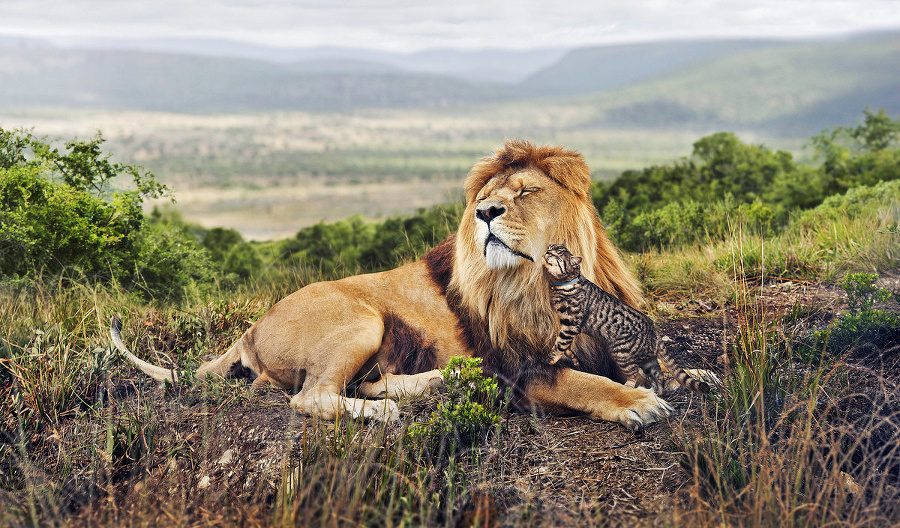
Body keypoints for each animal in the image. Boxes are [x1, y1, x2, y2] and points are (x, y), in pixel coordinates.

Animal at [112, 139, 672, 428]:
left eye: (527, 191)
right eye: (484, 198)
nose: (486, 213)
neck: (536, 281)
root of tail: (249, 331)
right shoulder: (519, 370)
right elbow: (582, 382)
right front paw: (639, 403)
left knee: (362, 382)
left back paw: (442, 380)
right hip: (362, 318)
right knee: (311, 397)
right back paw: (386, 411)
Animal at [540, 242, 712, 392]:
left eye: (556, 255)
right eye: (550, 247)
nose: (547, 251)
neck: (565, 284)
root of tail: (654, 332)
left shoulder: (571, 325)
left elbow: (559, 345)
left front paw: (549, 359)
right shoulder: (565, 325)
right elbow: (564, 345)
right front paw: (572, 357)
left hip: (622, 354)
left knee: (634, 373)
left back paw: (628, 387)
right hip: (648, 361)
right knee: (658, 374)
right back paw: (657, 391)